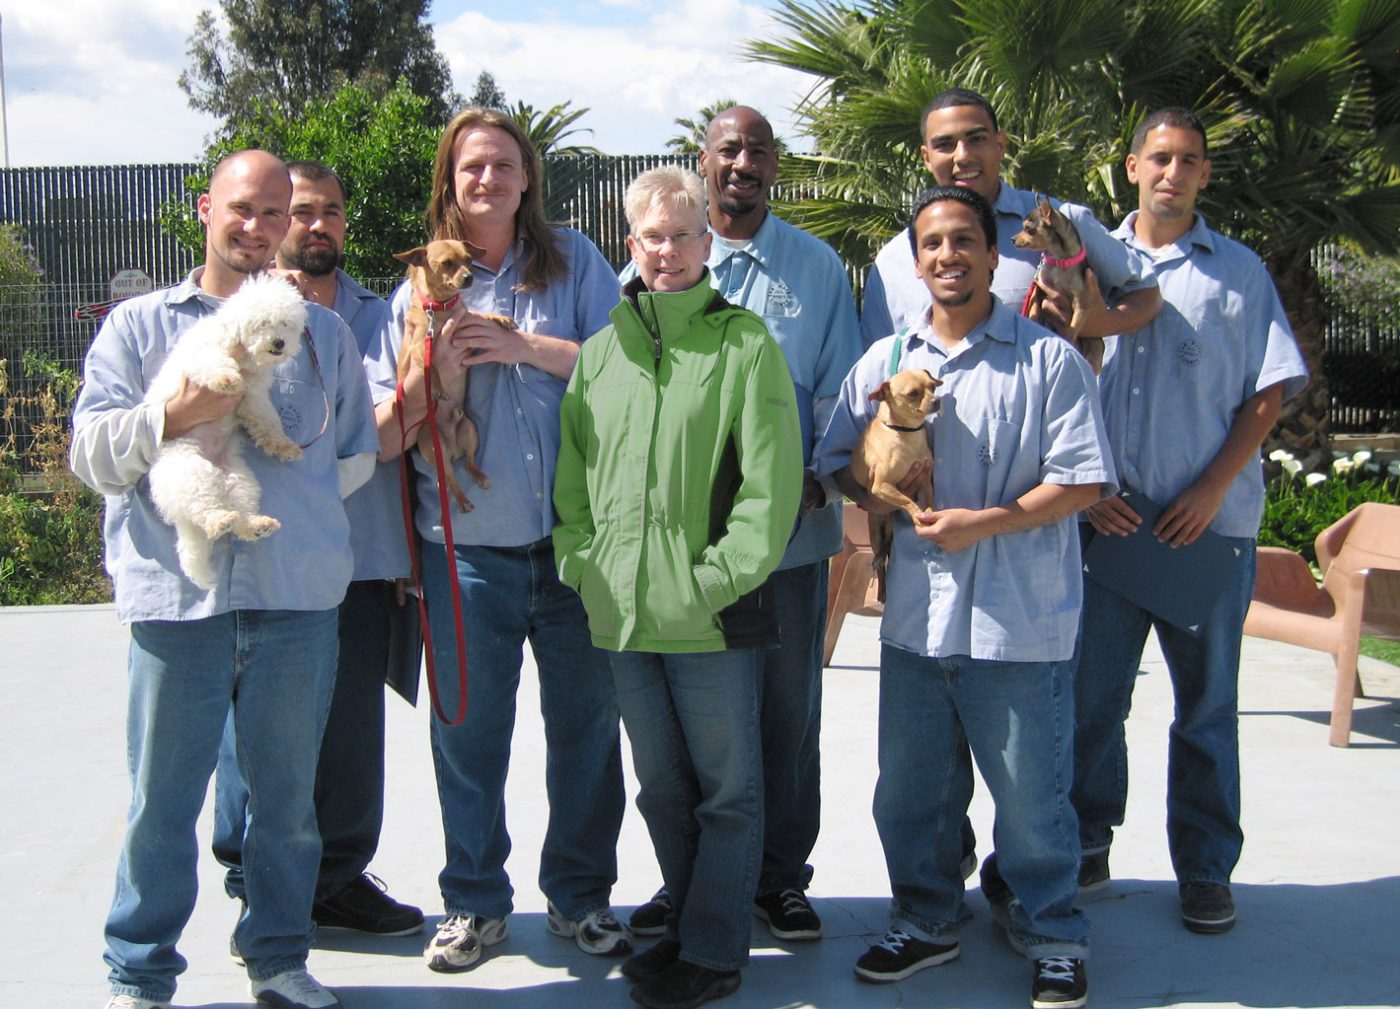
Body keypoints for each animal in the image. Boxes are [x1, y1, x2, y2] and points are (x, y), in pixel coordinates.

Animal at [144, 272, 309, 590]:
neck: (245, 357)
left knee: (239, 518)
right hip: (191, 472)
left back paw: (256, 525)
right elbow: (215, 364)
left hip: (240, 482)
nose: (279, 343)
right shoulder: (202, 358)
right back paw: (219, 520)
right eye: (262, 323)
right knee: (203, 512)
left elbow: (268, 424)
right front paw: (227, 379)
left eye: (286, 323)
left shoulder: (254, 399)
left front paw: (284, 446)